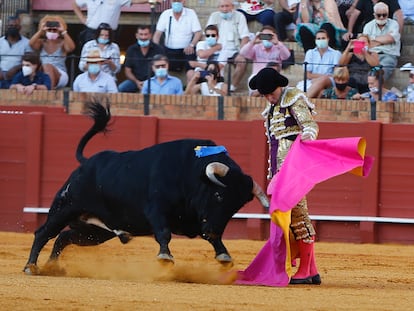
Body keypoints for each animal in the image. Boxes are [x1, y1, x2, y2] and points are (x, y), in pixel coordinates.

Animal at [23, 103, 268, 276]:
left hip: (95, 231)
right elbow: (164, 232)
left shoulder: (197, 219)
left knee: (64, 237)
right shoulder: (156, 209)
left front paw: (224, 256)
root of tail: (85, 163)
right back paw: (31, 267)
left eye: (235, 208)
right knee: (43, 233)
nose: (215, 230)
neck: (190, 171)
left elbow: (209, 239)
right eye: (218, 195)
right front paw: (165, 258)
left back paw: (52, 267)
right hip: (65, 207)